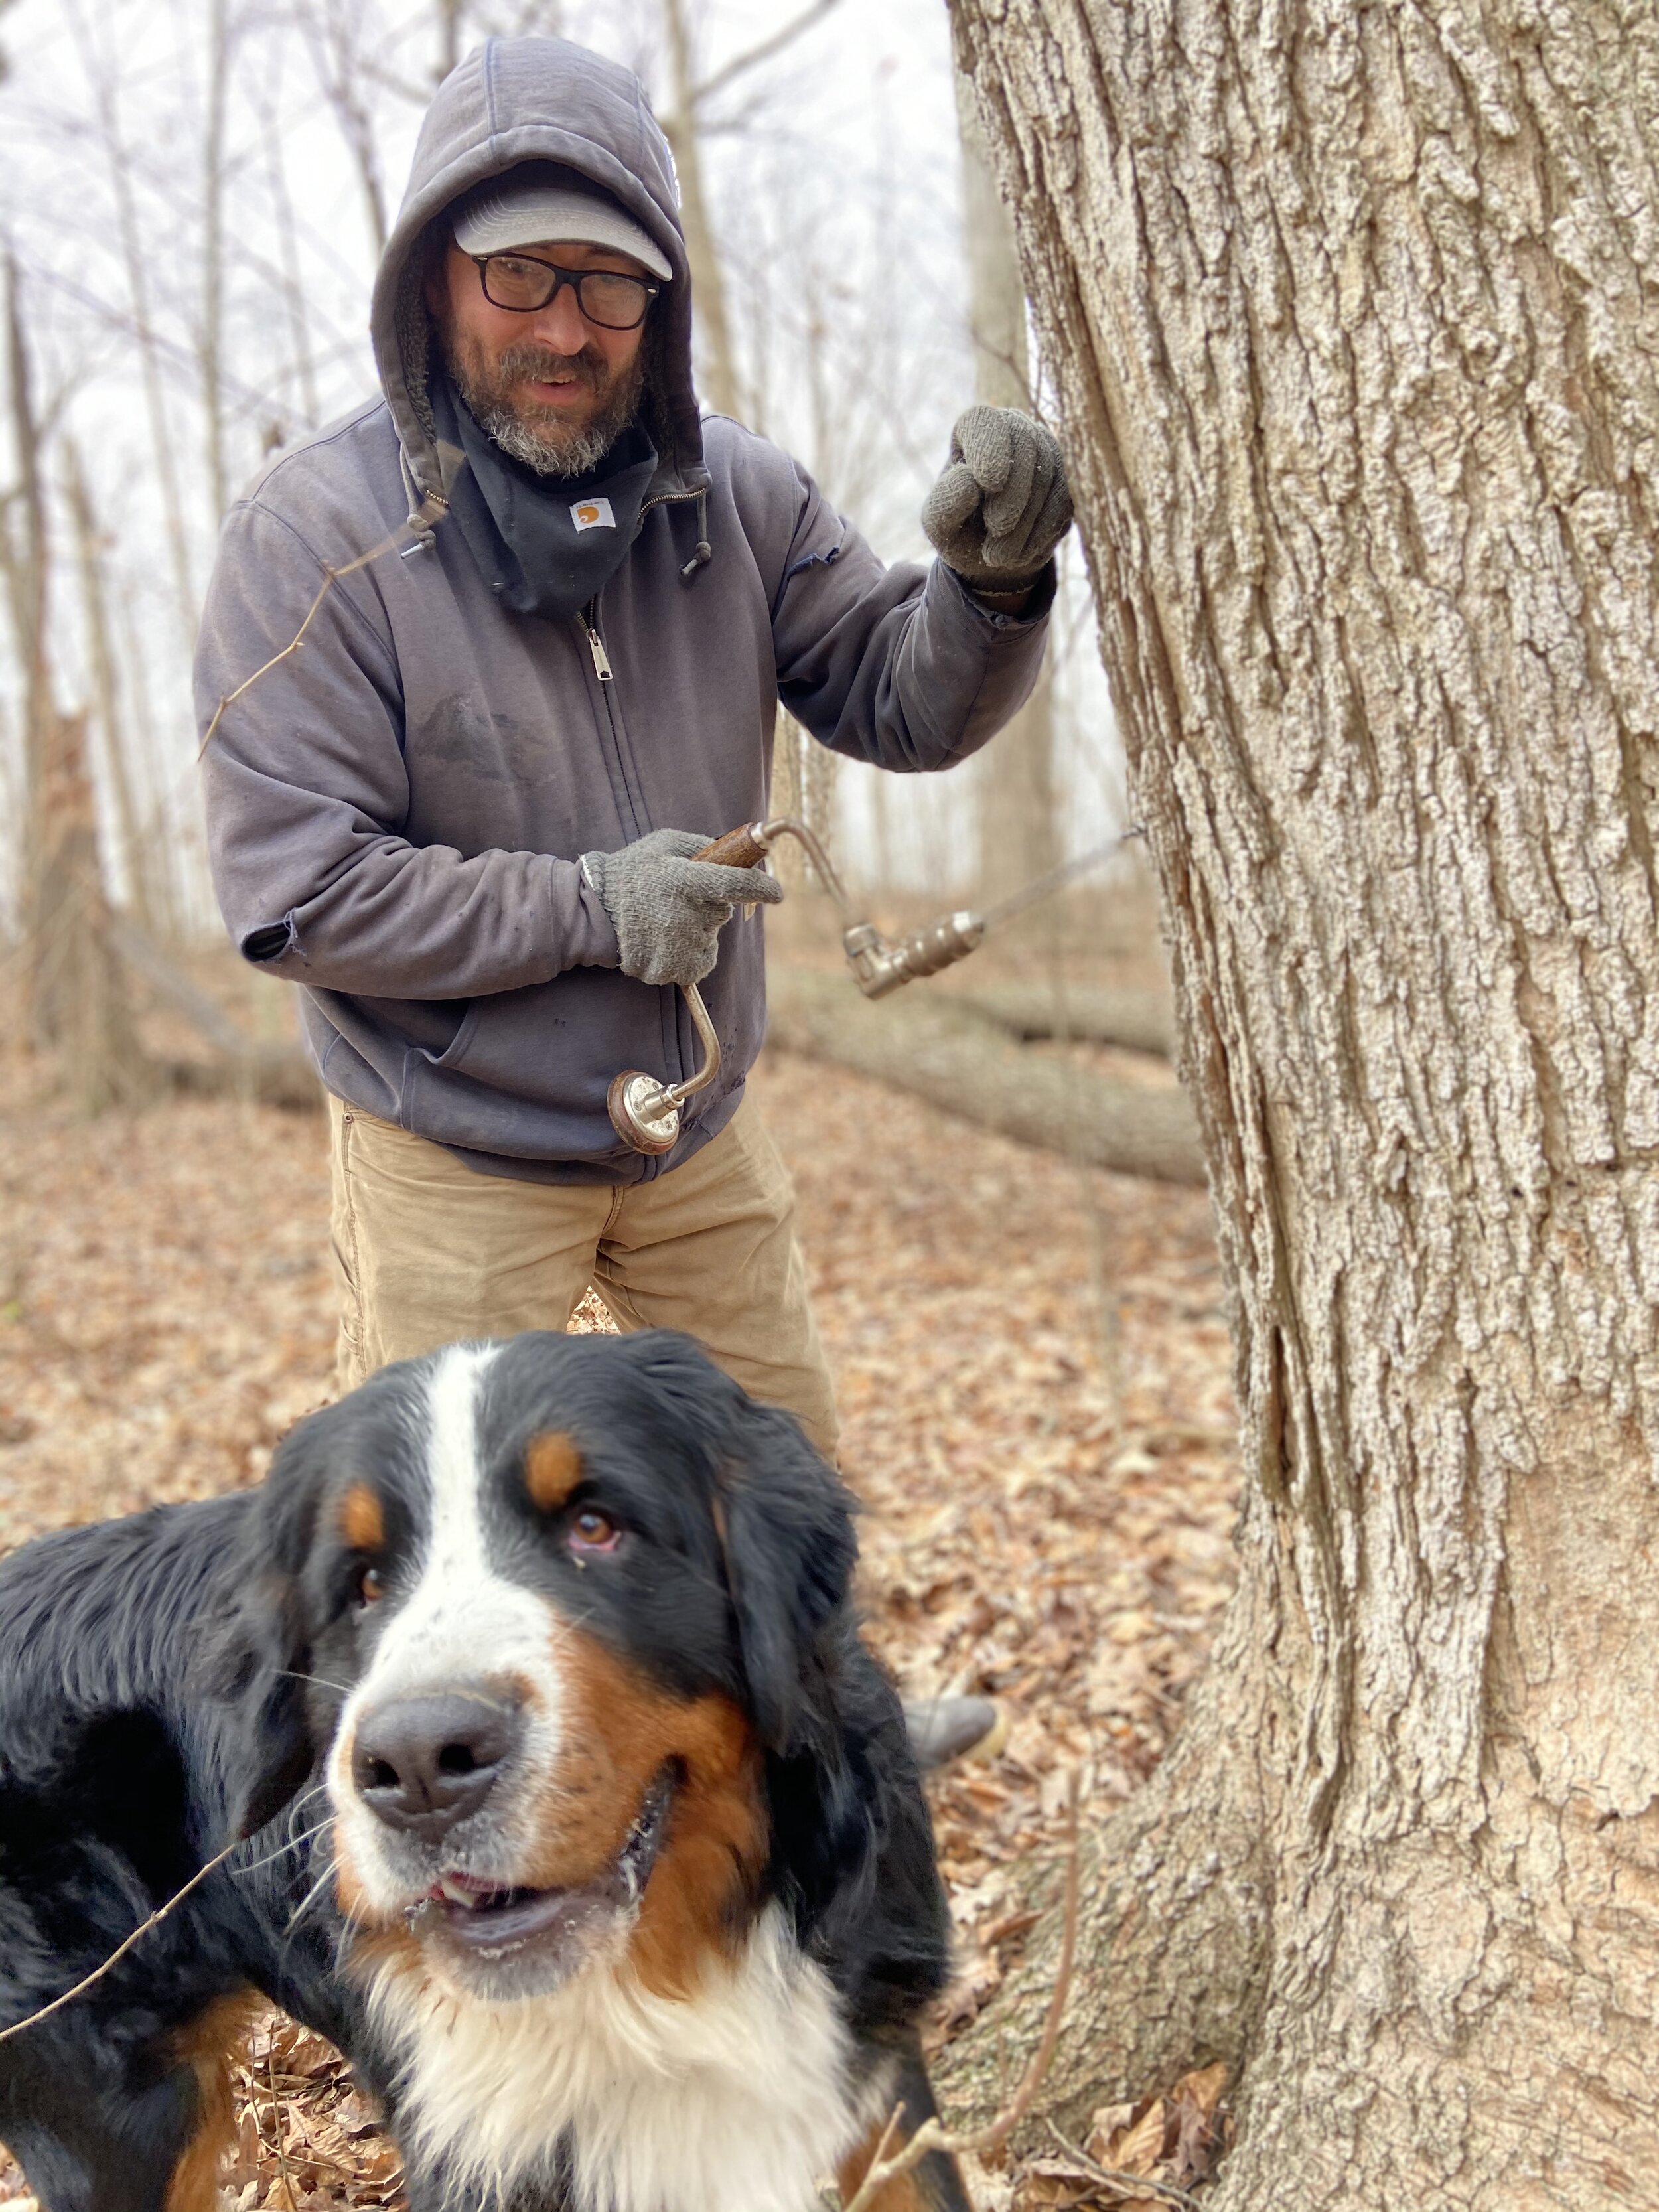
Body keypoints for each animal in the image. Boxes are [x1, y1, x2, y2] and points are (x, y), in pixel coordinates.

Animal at [0, 1327, 973, 2212]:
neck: (662, 1982)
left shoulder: (869, 2068)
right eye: (363, 1583)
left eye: (595, 1527)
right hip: (128, 2121)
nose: (420, 1762)